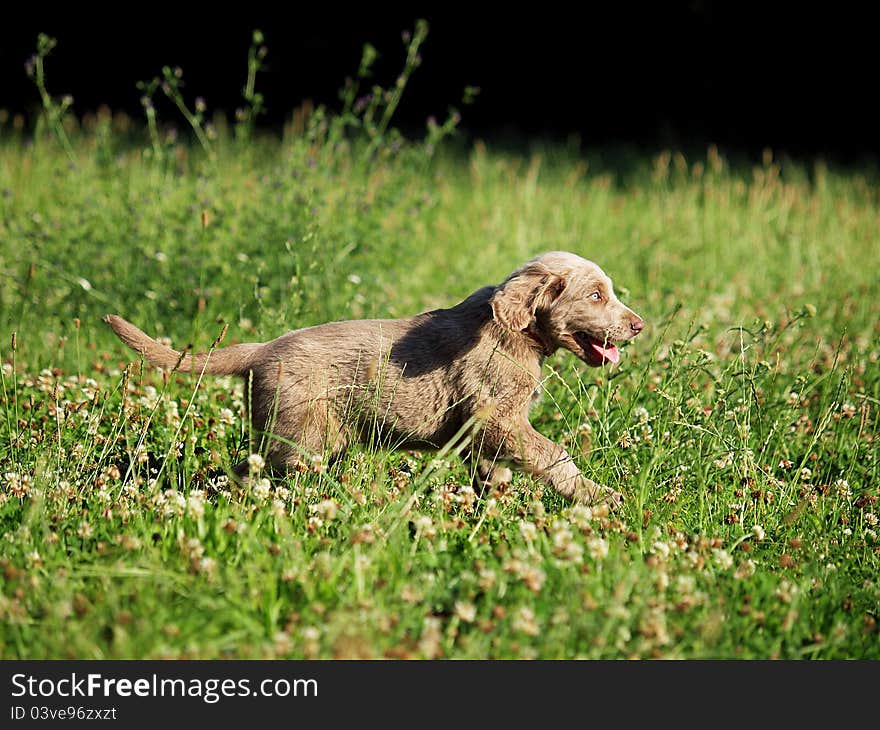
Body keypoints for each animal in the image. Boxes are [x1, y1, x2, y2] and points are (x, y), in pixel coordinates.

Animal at [106, 250, 644, 500]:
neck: (520, 334)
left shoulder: (484, 435)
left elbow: (494, 474)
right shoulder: (499, 419)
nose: (639, 325)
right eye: (597, 295)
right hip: (300, 439)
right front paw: (600, 496)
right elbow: (554, 455)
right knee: (249, 472)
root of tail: (261, 348)